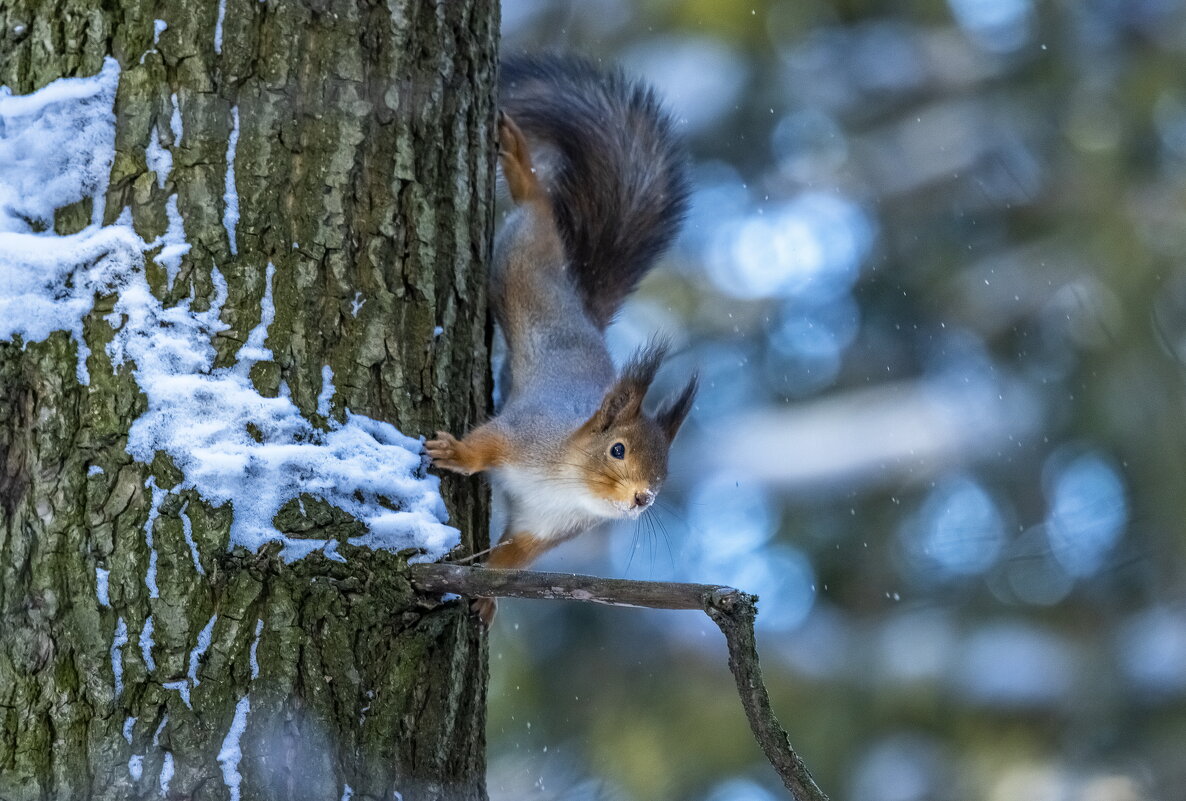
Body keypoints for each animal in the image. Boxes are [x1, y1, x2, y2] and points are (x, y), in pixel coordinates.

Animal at [426, 54, 692, 626]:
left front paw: (487, 595)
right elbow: (489, 441)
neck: (569, 484)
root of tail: (582, 308)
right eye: (618, 449)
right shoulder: (527, 433)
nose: (644, 498)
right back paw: (522, 169)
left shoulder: (541, 531)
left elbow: (511, 558)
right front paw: (457, 452)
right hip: (525, 265)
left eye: (666, 467)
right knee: (538, 214)